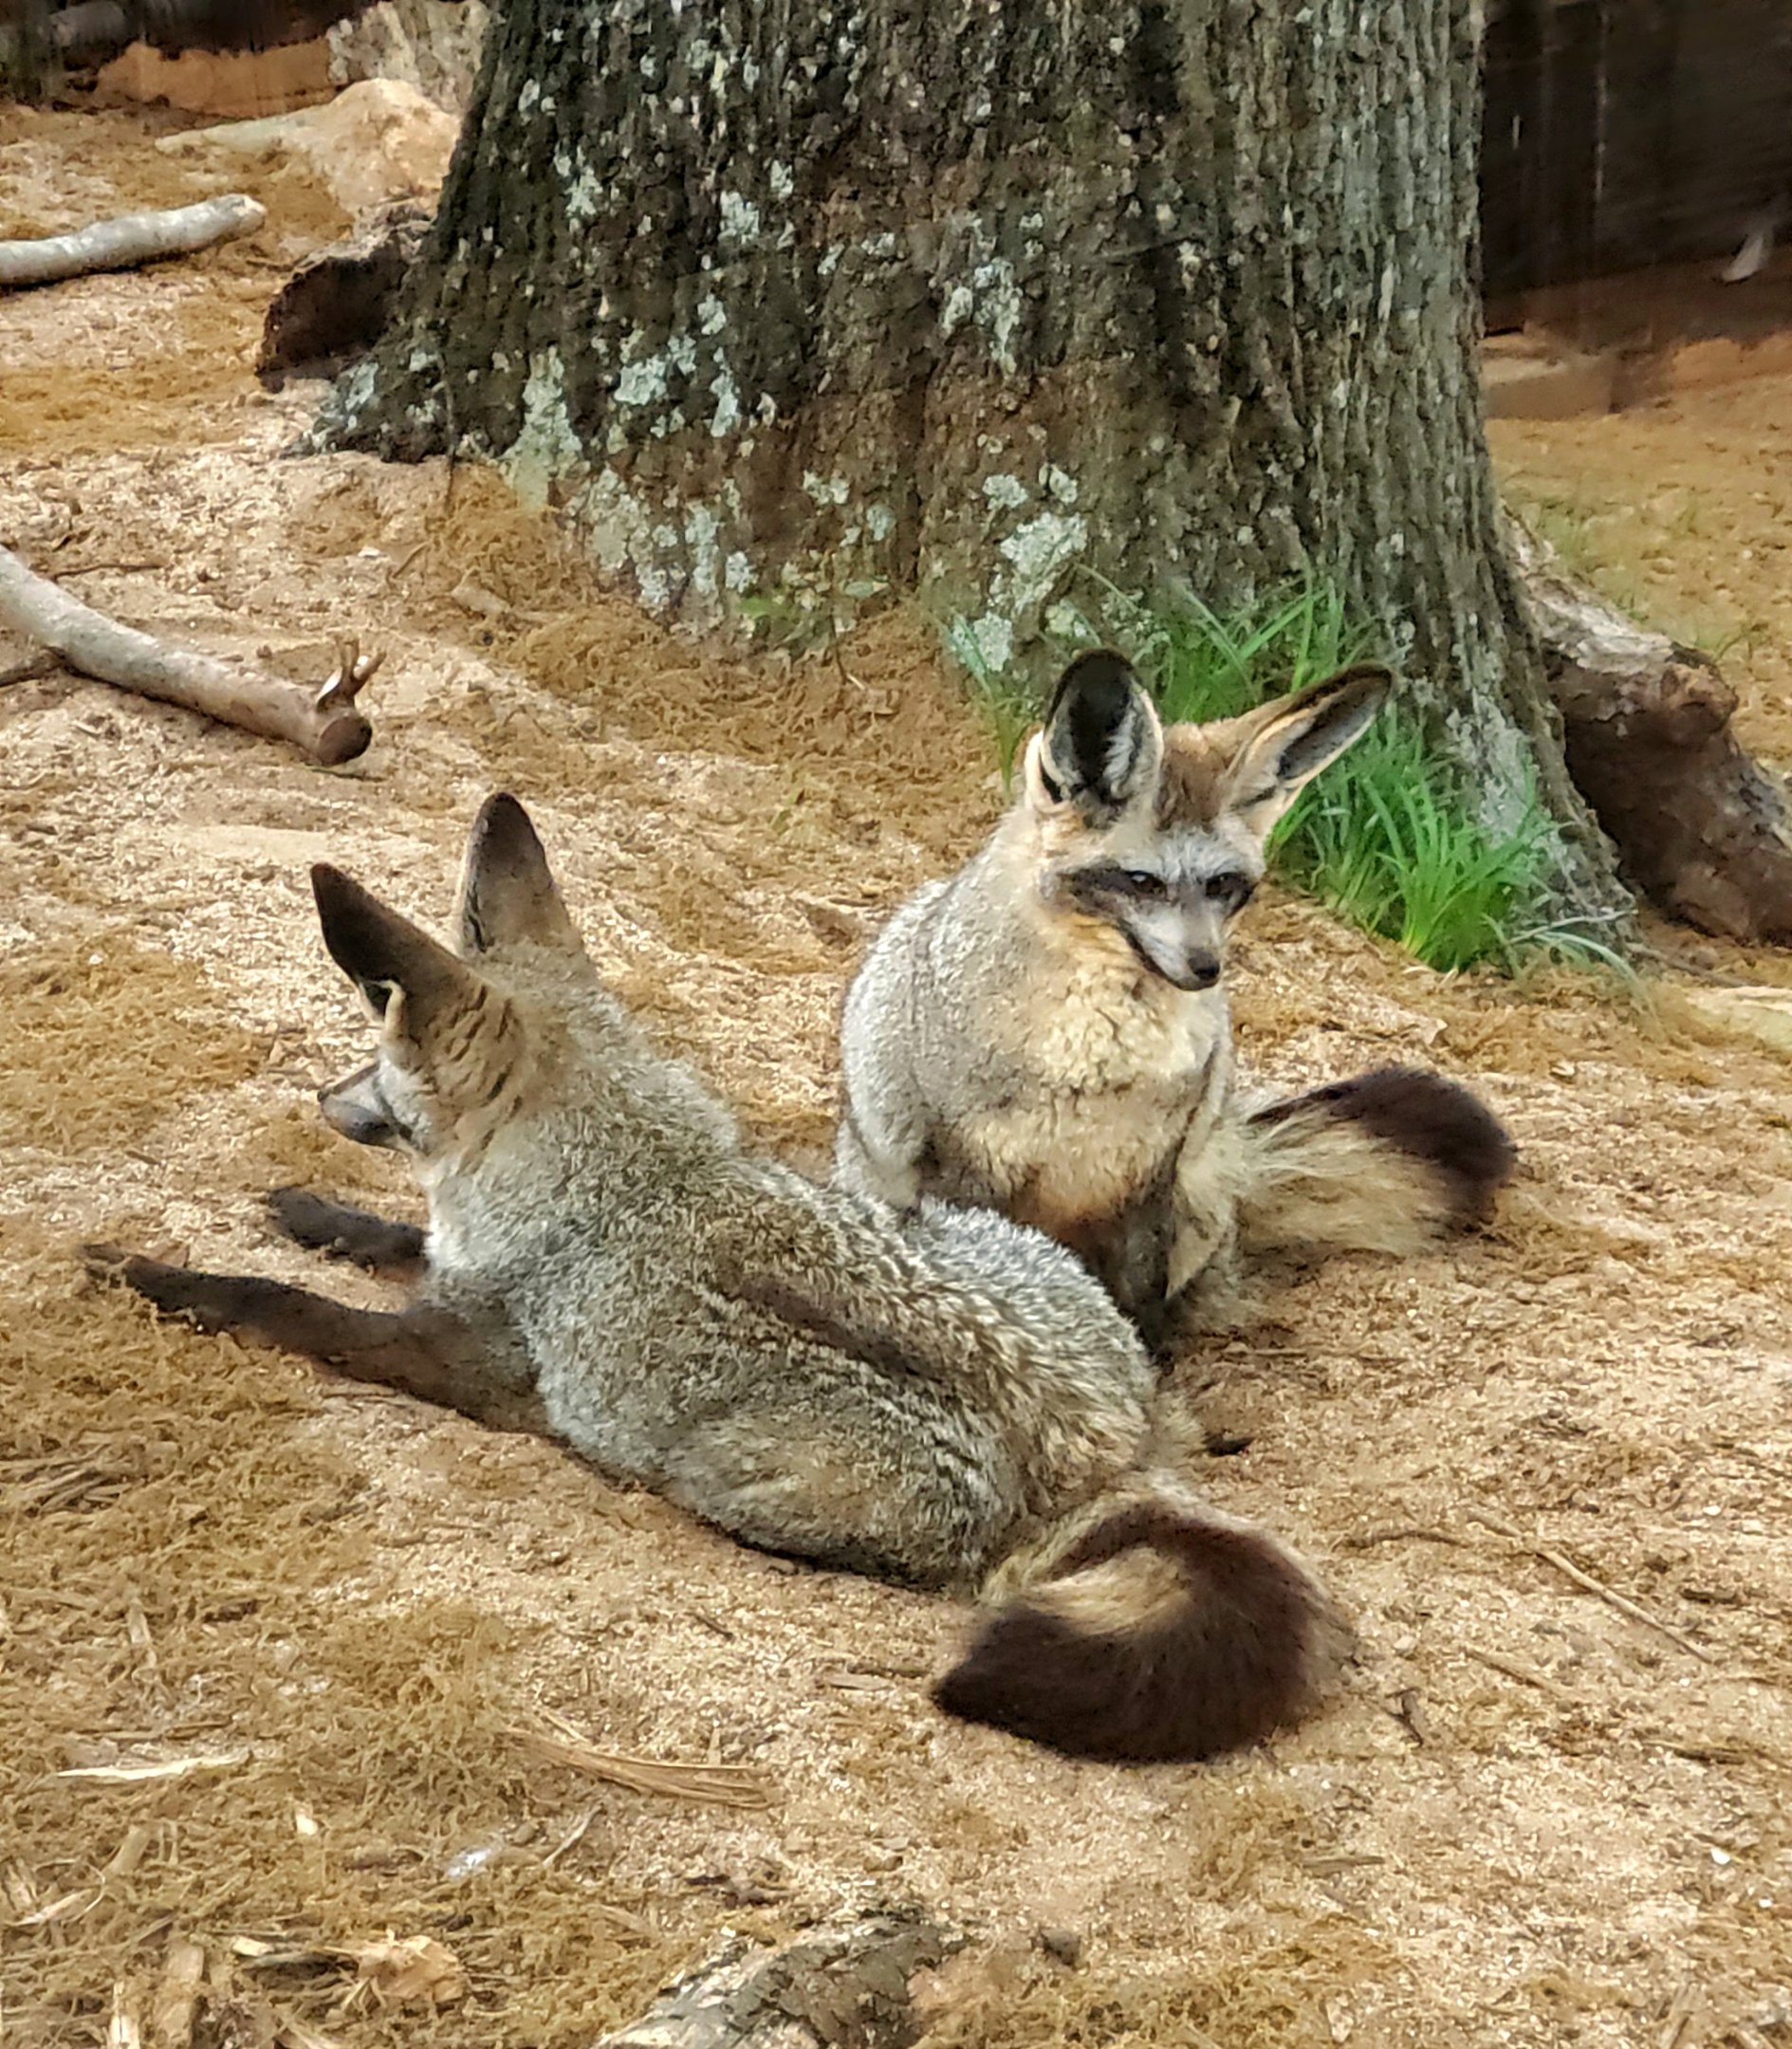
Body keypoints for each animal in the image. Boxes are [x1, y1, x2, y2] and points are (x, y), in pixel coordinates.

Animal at [85, 793, 1350, 1764]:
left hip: (723, 1464)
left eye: (376, 1049)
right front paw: (310, 1211)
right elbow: (391, 1235)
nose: (320, 1100)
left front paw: (162, 1273)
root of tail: (1101, 1452)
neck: (614, 1182)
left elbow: (296, 1308)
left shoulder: (460, 1353)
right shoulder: (460, 1267)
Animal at [835, 651, 1516, 1351]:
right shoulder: (966, 1167)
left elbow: (1140, 1302)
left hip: (1197, 1195)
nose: (1205, 968)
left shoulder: (1147, 1181)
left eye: (1223, 887)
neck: (1094, 1067)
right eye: (1142, 883)